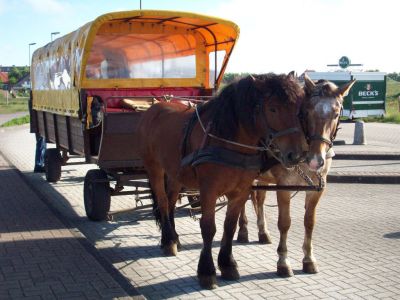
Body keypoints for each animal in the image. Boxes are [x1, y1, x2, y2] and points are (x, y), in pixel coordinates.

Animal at [138, 72, 306, 288]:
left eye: (298, 109)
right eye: (273, 108)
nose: (296, 154)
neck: (229, 141)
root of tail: (155, 107)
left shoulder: (241, 191)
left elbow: (230, 226)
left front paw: (227, 264)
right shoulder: (209, 191)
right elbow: (209, 228)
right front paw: (207, 271)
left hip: (175, 173)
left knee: (172, 201)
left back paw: (174, 239)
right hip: (154, 169)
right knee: (163, 202)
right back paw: (168, 241)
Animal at [236, 74, 354, 278]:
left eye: (336, 114)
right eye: (306, 112)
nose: (316, 160)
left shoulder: (317, 189)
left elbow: (309, 222)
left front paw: (309, 259)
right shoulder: (283, 186)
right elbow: (284, 223)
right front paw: (283, 262)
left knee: (259, 200)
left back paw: (262, 232)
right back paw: (243, 230)